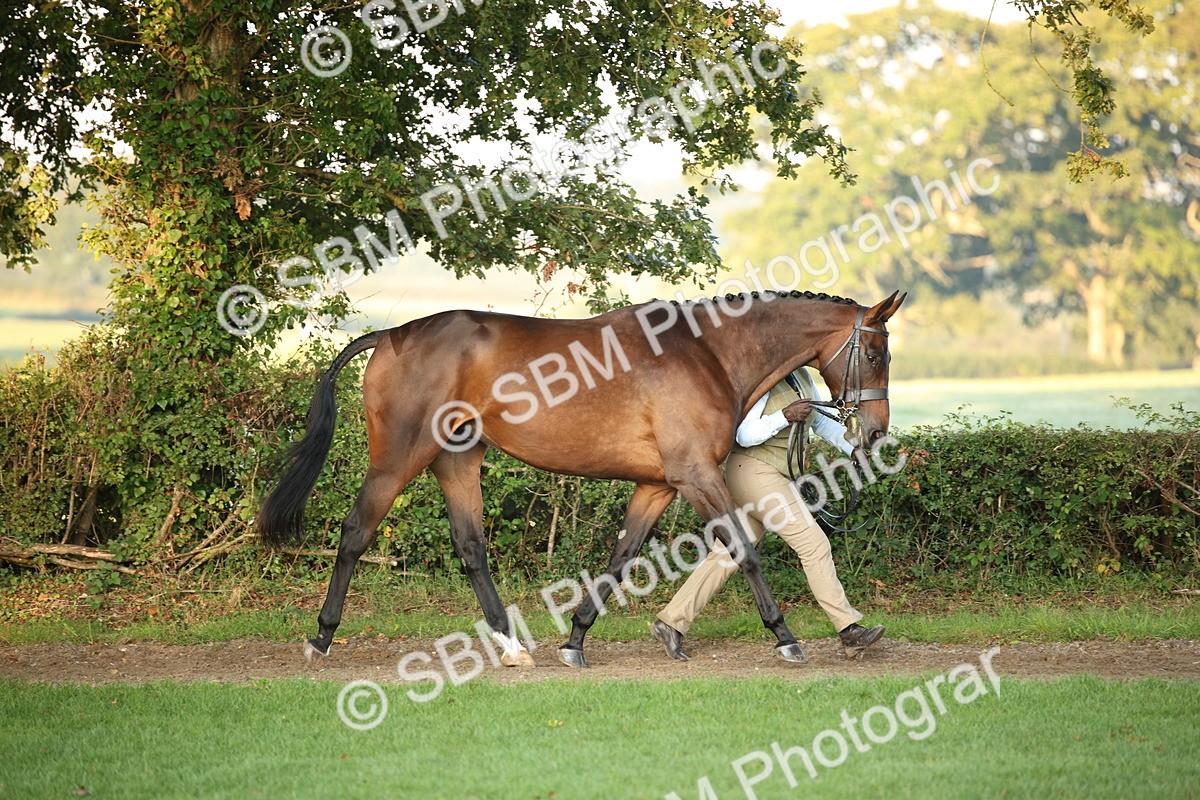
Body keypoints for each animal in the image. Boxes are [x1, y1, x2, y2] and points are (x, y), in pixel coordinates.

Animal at [258, 289, 905, 668]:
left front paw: (575, 640)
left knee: (470, 546)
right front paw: (786, 637)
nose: (873, 432)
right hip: (398, 458)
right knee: (355, 532)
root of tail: (392, 335)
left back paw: (512, 646)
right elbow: (744, 549)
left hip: (456, 459)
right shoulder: (696, 475)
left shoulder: (660, 484)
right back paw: (320, 638)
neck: (708, 352)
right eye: (877, 355)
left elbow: (621, 558)